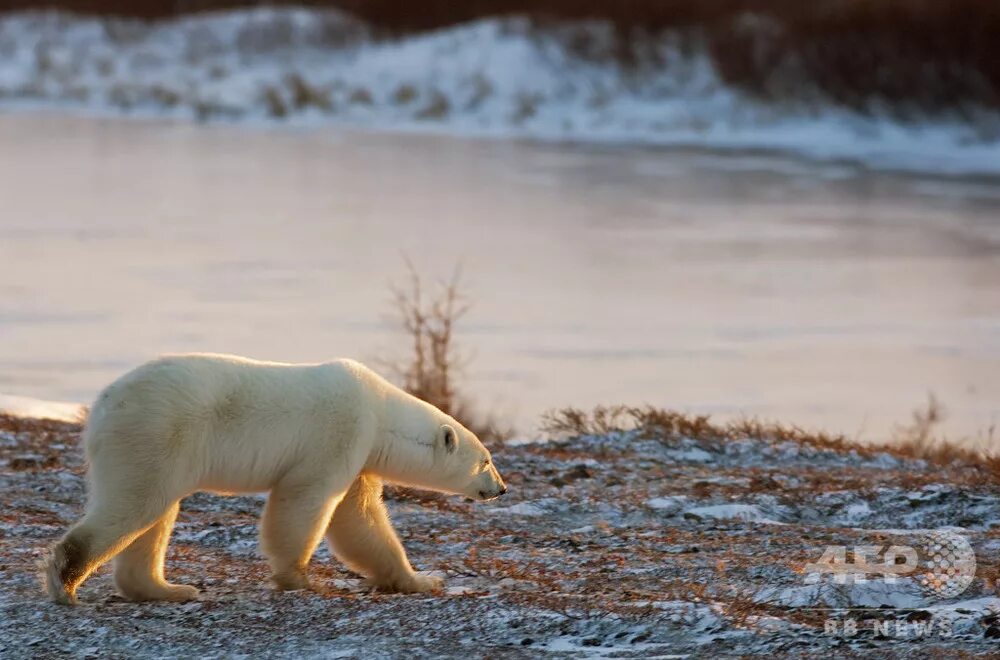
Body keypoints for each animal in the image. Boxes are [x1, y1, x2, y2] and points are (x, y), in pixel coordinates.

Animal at [45, 354, 508, 604]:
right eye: (486, 460)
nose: (501, 489)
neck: (380, 412)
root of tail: (102, 404)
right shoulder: (340, 434)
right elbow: (306, 501)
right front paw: (300, 578)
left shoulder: (361, 456)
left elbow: (361, 521)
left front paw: (422, 579)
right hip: (155, 433)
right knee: (135, 504)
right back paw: (66, 583)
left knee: (154, 514)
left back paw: (169, 589)